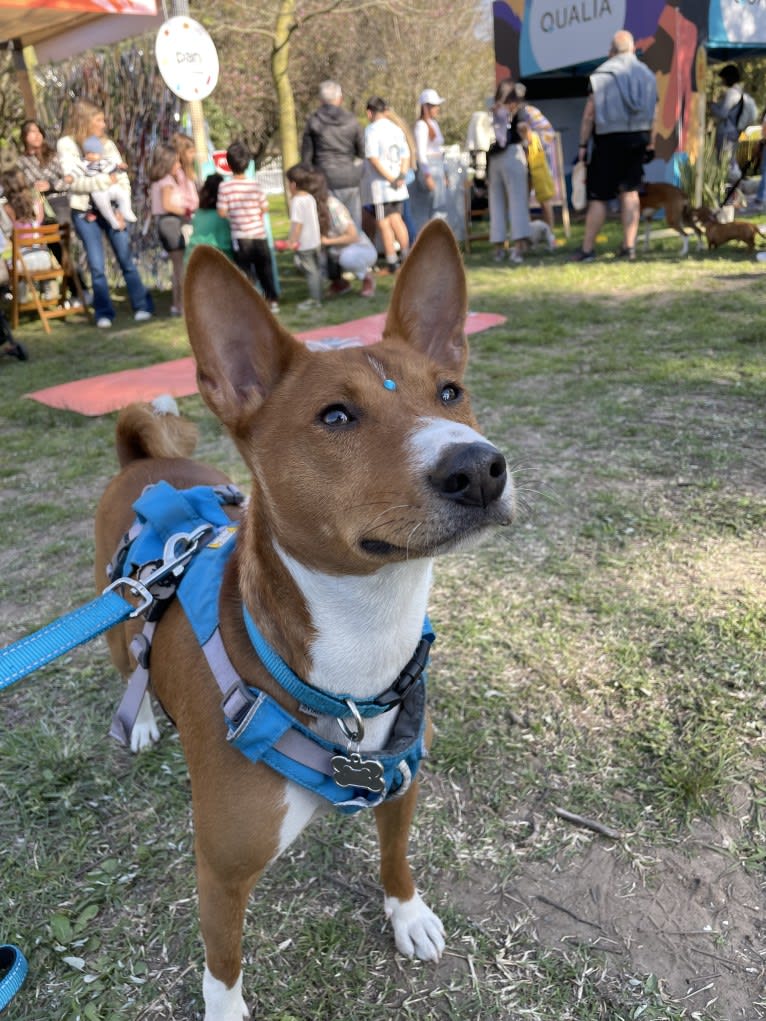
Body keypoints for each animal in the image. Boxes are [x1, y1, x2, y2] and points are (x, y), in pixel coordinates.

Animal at [94, 219, 516, 1016]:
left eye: (451, 392)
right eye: (336, 416)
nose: (478, 466)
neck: (360, 657)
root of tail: (143, 462)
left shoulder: (400, 785)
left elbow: (396, 857)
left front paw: (407, 914)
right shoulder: (221, 867)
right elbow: (223, 959)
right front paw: (225, 1009)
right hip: (119, 612)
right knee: (130, 660)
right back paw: (141, 719)